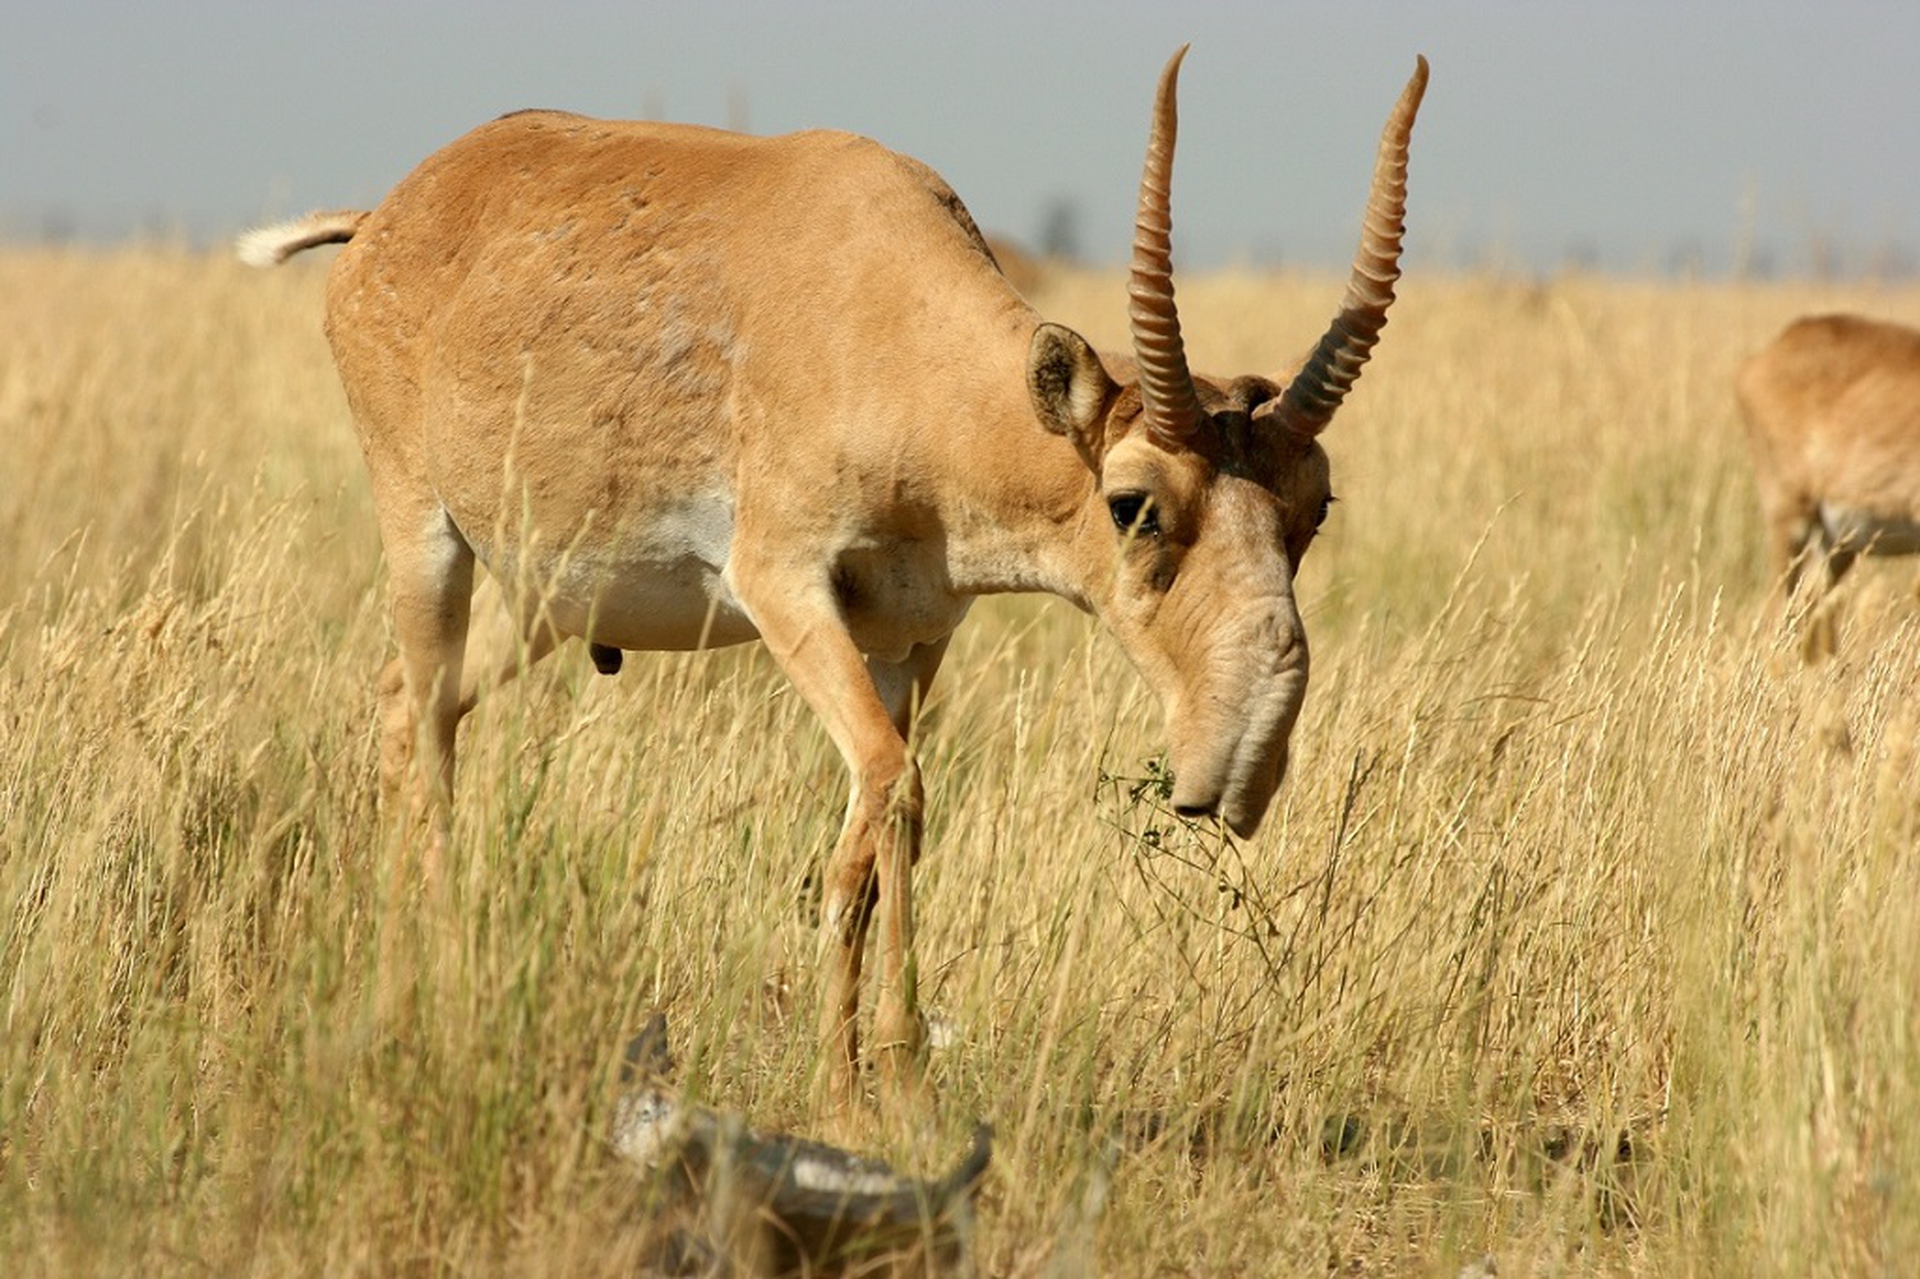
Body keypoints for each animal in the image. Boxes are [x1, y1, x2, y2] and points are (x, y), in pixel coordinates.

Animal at [243, 47, 1428, 1098]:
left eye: (1312, 506)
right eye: (1133, 501)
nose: (1244, 760)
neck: (891, 334)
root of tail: (384, 217)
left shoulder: (912, 637)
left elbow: (895, 816)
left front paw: (897, 1082)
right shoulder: (784, 588)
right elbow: (887, 794)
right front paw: (842, 1090)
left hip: (542, 599)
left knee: (415, 702)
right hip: (423, 532)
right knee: (418, 724)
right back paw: (424, 994)